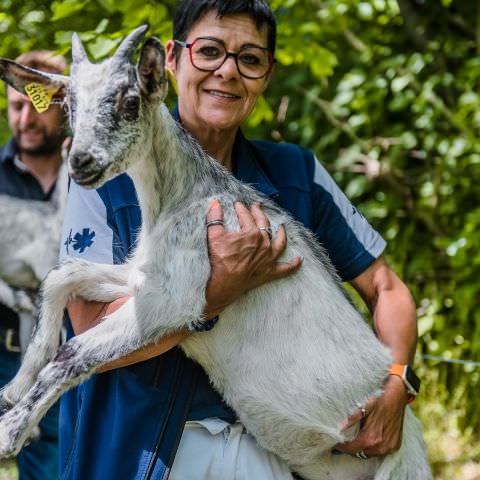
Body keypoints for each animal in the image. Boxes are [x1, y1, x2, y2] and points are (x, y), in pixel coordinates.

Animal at [0, 27, 432, 480]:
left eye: (130, 102)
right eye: (68, 106)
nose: (81, 162)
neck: (183, 197)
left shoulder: (174, 301)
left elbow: (74, 352)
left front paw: (9, 433)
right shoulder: (144, 276)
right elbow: (60, 276)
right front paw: (15, 387)